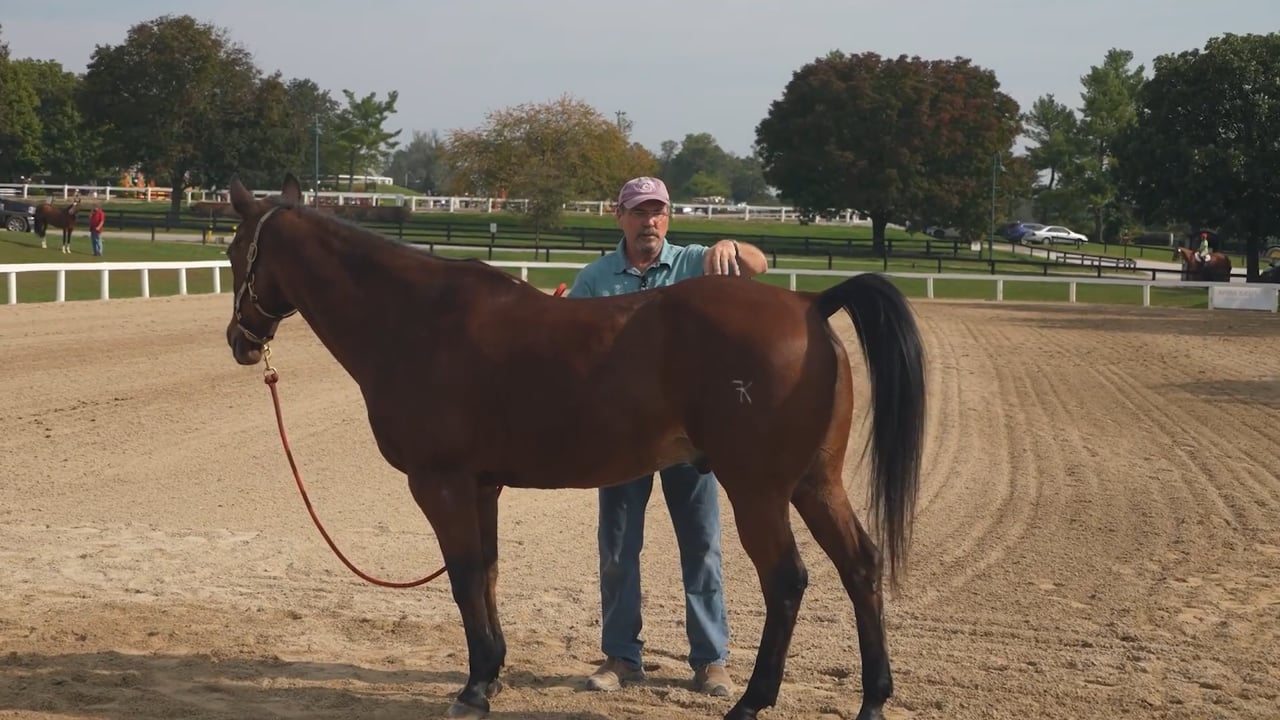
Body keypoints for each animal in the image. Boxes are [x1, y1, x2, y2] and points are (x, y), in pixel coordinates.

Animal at [222, 174, 928, 720]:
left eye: (234, 254)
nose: (239, 341)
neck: (415, 318)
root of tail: (810, 305)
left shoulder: (439, 482)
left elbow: (464, 577)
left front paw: (473, 689)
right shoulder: (481, 485)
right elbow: (487, 573)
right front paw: (491, 672)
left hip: (758, 491)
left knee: (786, 580)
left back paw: (751, 701)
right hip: (815, 484)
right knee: (859, 566)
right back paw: (872, 699)